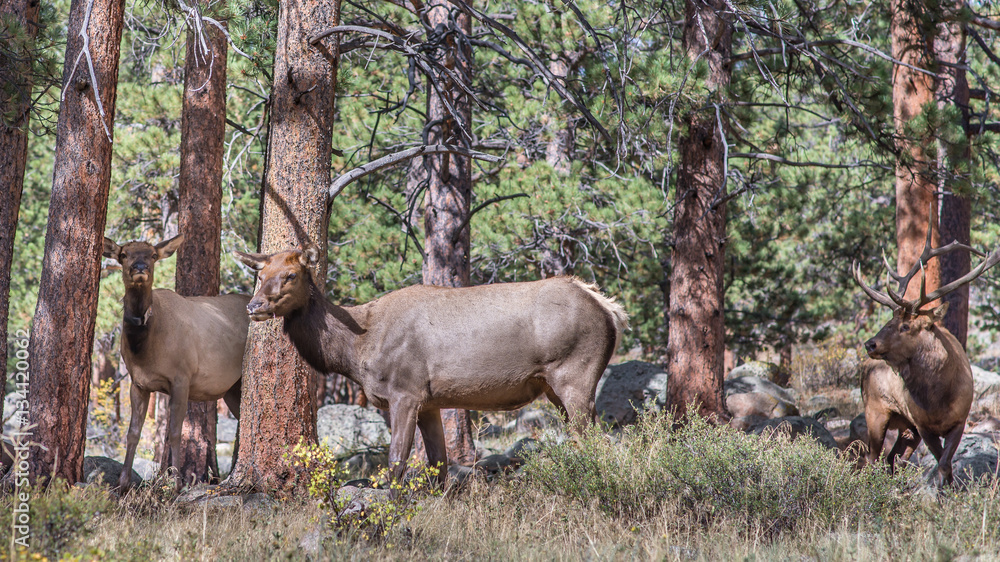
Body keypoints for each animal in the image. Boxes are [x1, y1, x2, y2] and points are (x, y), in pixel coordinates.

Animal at [104, 235, 250, 490]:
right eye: (123, 254)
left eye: (153, 255)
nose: (140, 268)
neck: (145, 350)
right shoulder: (137, 382)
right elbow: (133, 433)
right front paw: (122, 484)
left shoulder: (182, 378)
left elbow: (174, 432)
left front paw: (177, 484)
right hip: (233, 388)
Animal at [234, 246, 628, 485]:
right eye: (260, 274)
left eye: (291, 275)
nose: (254, 305)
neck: (356, 351)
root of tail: (609, 309)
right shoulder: (430, 402)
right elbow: (438, 466)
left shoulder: (404, 391)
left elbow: (396, 462)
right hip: (553, 388)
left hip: (576, 374)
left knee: (599, 442)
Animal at [852, 226, 1000, 487]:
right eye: (890, 320)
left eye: (905, 326)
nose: (870, 343)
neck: (938, 398)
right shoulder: (923, 425)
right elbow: (942, 463)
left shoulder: (959, 420)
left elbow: (945, 464)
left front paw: (950, 491)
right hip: (875, 411)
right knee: (873, 459)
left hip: (907, 428)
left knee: (892, 460)